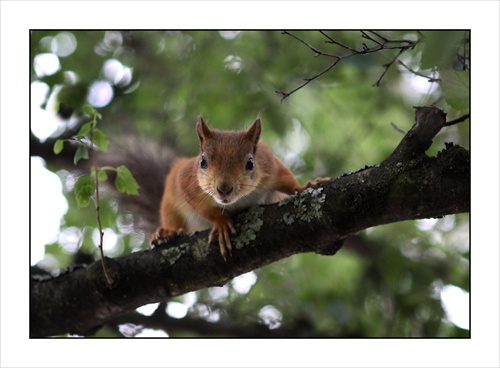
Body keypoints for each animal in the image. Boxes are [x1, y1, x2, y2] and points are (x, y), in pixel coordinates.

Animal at [149, 116, 328, 260]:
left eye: (250, 163)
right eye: (202, 162)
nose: (224, 188)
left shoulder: (270, 165)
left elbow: (286, 179)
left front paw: (305, 186)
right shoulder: (187, 184)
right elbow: (204, 209)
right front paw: (221, 222)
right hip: (170, 202)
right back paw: (166, 233)